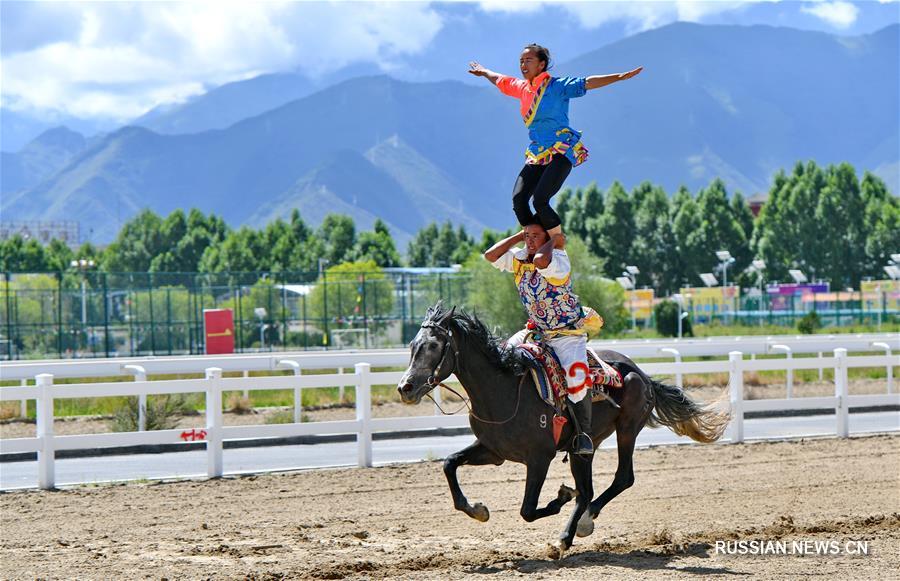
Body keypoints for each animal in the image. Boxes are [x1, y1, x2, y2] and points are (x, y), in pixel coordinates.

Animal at [398, 304, 728, 552]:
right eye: (412, 346)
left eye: (434, 346)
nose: (405, 388)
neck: (504, 389)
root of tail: (641, 375)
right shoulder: (493, 451)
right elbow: (449, 463)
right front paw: (477, 509)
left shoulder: (539, 457)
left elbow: (528, 509)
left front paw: (560, 497)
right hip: (584, 448)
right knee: (587, 490)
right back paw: (573, 530)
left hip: (627, 430)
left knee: (621, 479)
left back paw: (579, 525)